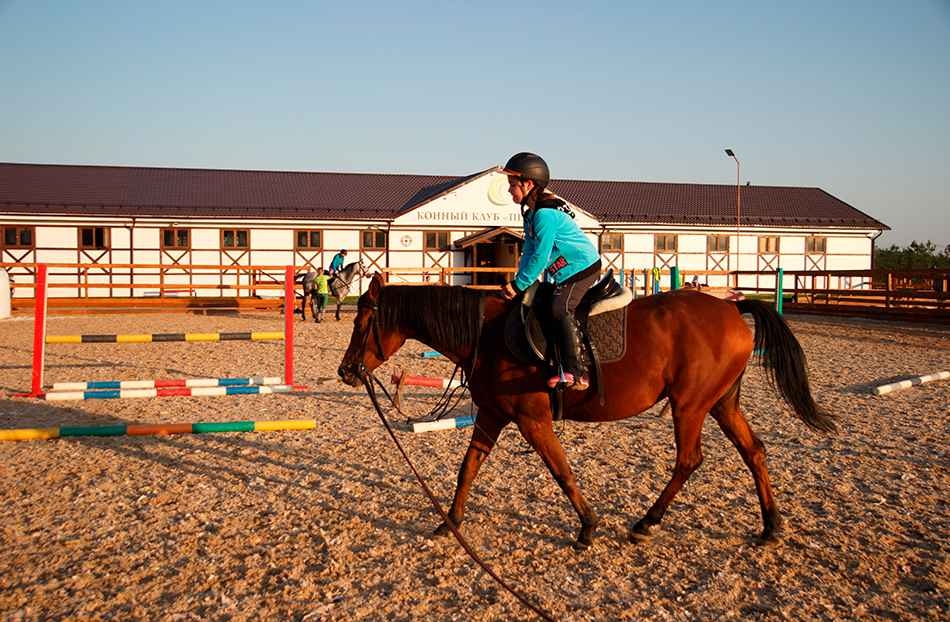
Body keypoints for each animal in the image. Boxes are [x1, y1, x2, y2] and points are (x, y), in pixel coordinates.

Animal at [338, 272, 836, 552]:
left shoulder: (531, 419)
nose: (346, 371)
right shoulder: (492, 415)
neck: (488, 333)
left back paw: (646, 522)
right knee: (754, 451)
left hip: (690, 404)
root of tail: (731, 310)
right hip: (720, 403)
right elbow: (468, 468)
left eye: (362, 322)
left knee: (689, 460)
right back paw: (770, 525)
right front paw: (450, 523)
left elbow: (561, 471)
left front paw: (587, 528)